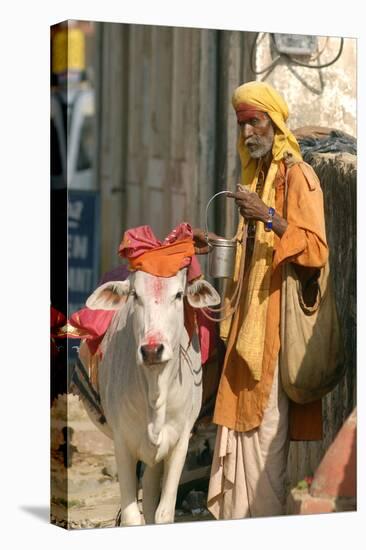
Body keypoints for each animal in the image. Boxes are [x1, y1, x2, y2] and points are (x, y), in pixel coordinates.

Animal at [85, 270, 220, 528]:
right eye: (135, 295)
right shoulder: (122, 443)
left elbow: (164, 513)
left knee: (149, 495)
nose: (151, 350)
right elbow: (130, 517)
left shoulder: (180, 442)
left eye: (178, 295)